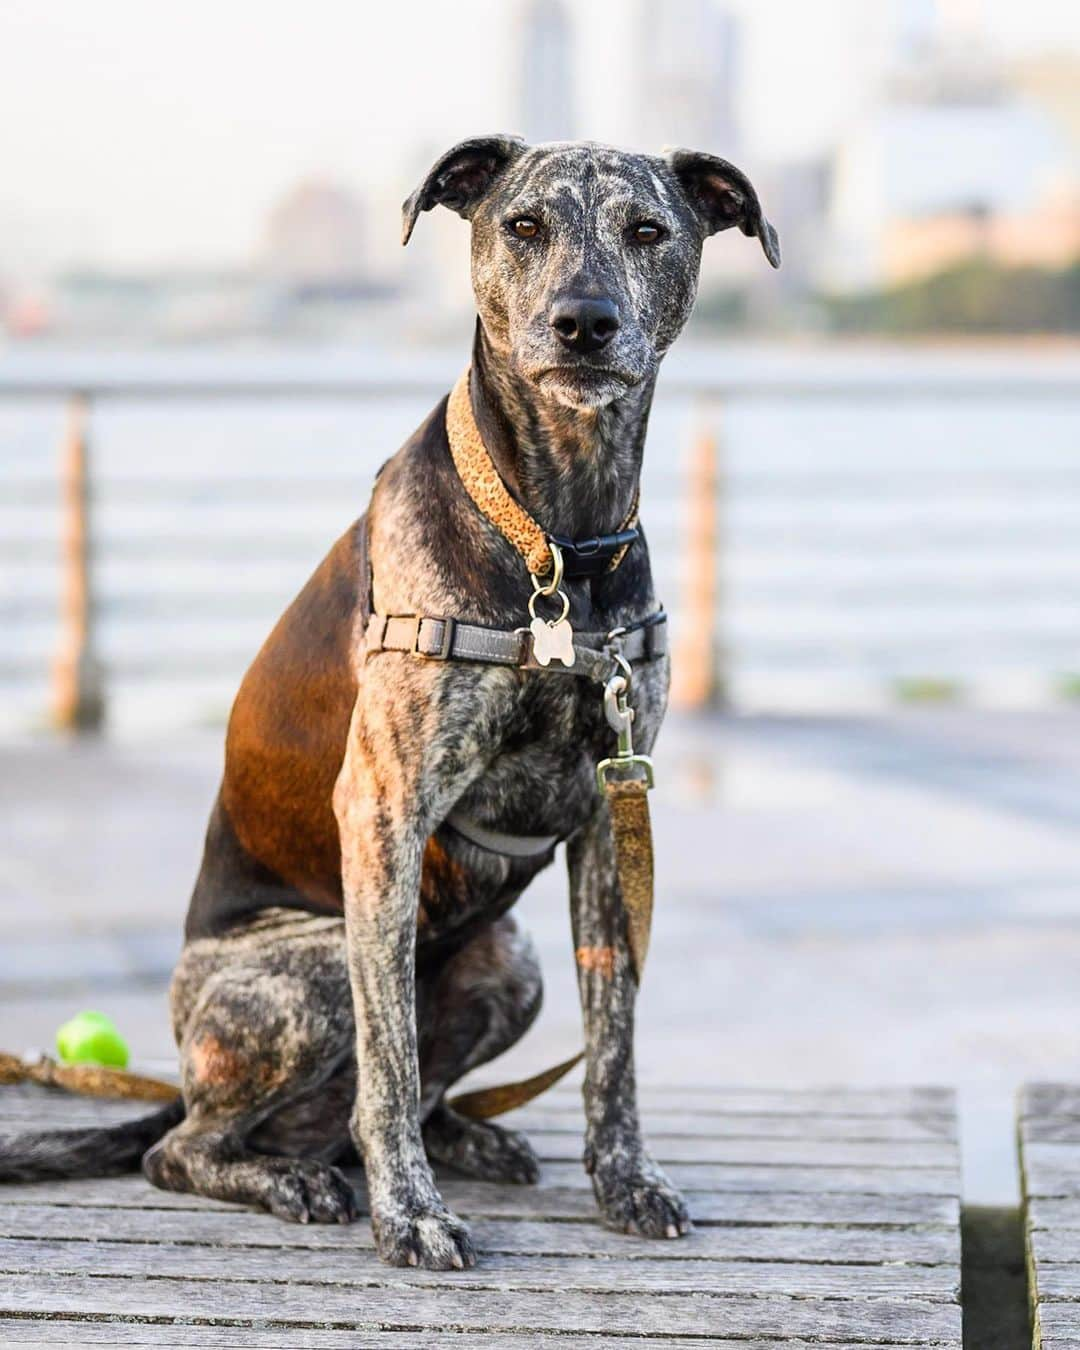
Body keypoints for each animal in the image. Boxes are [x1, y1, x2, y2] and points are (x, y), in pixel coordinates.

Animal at [0, 134, 783, 1263]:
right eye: (524, 225)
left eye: (648, 230)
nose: (583, 321)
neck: (555, 537)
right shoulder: (383, 812)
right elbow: (390, 1057)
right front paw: (408, 1212)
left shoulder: (610, 819)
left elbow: (615, 1039)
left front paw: (626, 1178)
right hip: (311, 972)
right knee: (187, 1146)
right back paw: (296, 1178)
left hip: (511, 962)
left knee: (396, 1093)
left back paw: (462, 1140)